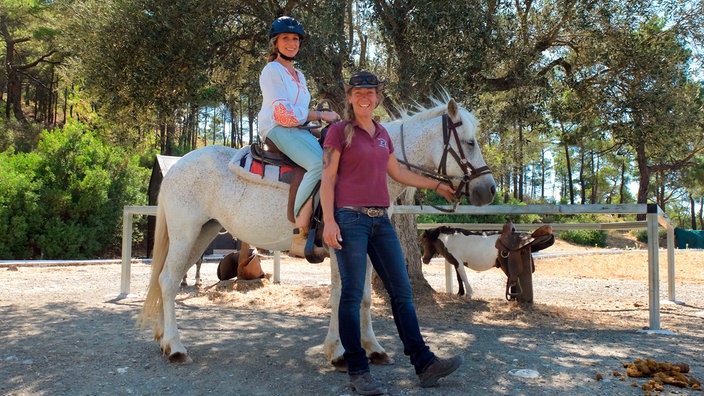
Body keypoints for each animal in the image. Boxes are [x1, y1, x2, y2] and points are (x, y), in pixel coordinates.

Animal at [140, 96, 498, 368]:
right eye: (470, 142)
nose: (490, 189)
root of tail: (177, 166)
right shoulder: (341, 247)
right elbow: (342, 295)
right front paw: (338, 352)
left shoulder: (367, 246)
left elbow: (364, 297)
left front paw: (372, 347)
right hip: (186, 232)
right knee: (168, 280)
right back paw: (175, 347)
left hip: (202, 234)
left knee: (167, 279)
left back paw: (163, 339)